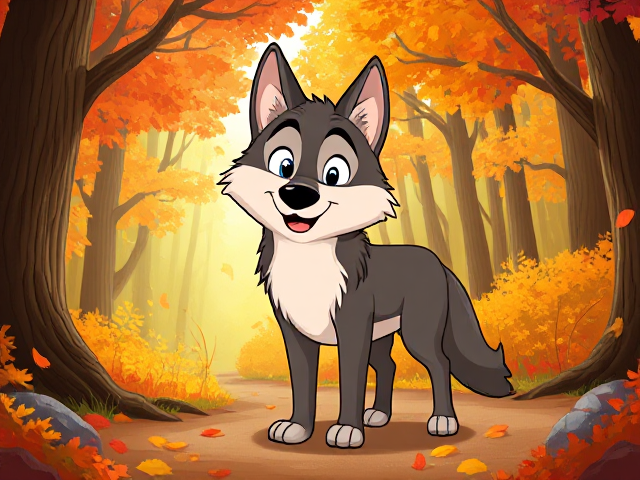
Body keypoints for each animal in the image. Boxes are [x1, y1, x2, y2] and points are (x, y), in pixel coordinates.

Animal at [220, 43, 514, 449]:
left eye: (334, 173)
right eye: (284, 165)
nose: (298, 194)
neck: (307, 263)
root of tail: (438, 262)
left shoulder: (353, 327)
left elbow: (350, 383)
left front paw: (347, 430)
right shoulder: (295, 333)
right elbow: (302, 385)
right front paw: (298, 428)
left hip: (416, 333)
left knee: (440, 364)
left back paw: (442, 421)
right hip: (383, 336)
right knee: (388, 365)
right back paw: (379, 416)